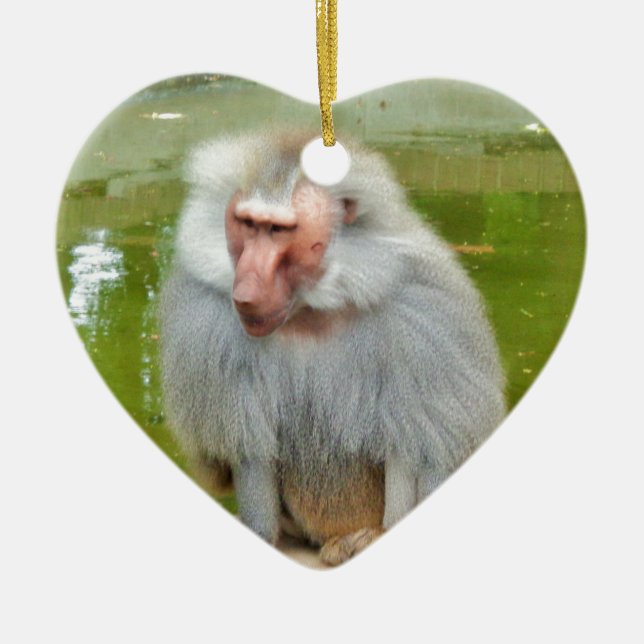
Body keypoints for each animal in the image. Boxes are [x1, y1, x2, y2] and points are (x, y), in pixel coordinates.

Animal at [160, 131, 506, 566]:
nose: (246, 290)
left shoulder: (429, 316)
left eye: (279, 230)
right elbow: (247, 451)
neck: (313, 309)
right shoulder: (210, 323)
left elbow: (430, 449)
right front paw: (260, 535)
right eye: (248, 224)